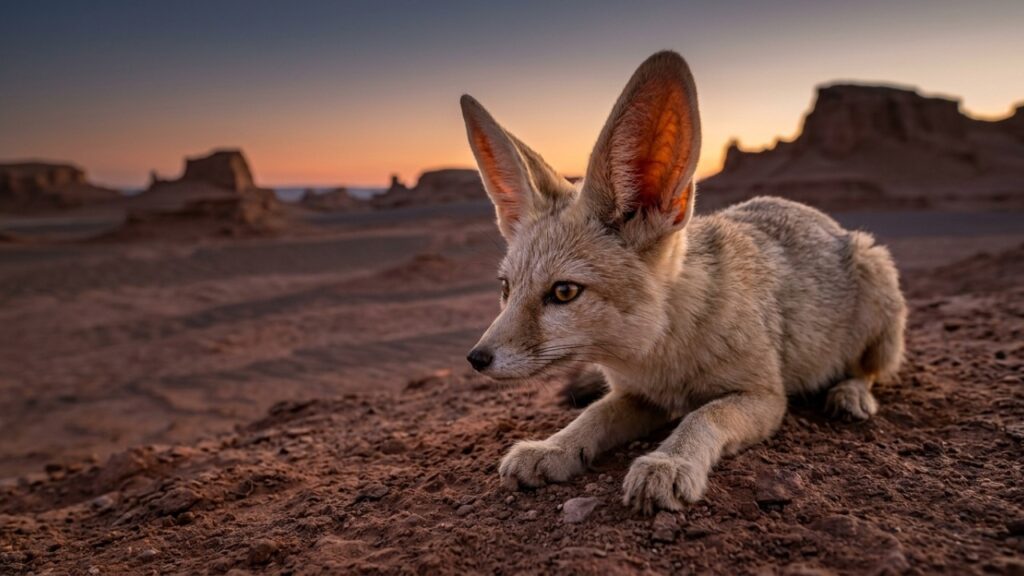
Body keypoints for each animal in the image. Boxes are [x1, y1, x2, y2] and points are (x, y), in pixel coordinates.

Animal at [461, 51, 907, 514]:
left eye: (564, 292)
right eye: (506, 288)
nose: (476, 358)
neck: (662, 352)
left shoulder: (765, 397)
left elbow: (703, 415)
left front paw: (669, 463)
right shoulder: (639, 396)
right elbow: (593, 414)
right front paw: (552, 448)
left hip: (876, 276)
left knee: (873, 370)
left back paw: (850, 393)